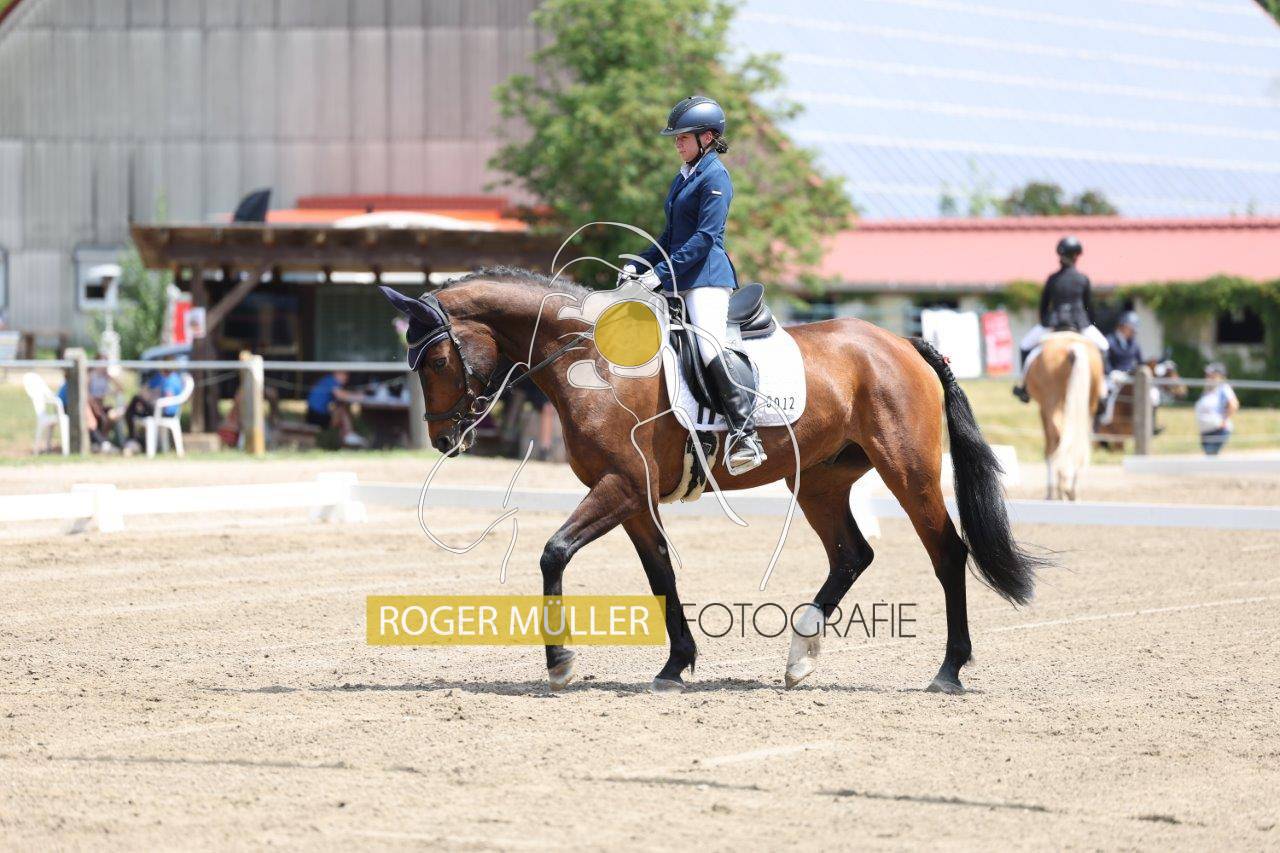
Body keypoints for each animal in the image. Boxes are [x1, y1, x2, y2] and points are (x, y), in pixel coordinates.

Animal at [385, 269, 1044, 695]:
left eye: (436, 360)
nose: (444, 439)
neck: (591, 361)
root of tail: (901, 344)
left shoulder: (621, 485)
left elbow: (554, 552)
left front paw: (561, 662)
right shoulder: (633, 497)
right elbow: (660, 574)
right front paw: (675, 665)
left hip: (908, 471)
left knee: (946, 552)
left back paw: (949, 670)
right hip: (820, 482)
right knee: (852, 554)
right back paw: (799, 659)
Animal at [1024, 332, 1105, 501]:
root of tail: (1073, 346)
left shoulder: (1043, 409)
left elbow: (1049, 446)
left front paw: (1051, 492)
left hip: (1052, 403)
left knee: (1058, 438)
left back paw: (1062, 485)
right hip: (1090, 404)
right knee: (1080, 440)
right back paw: (1071, 488)